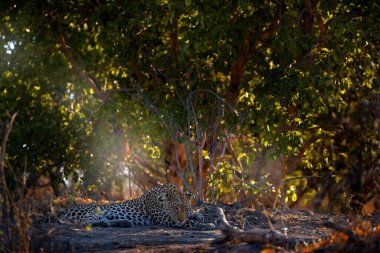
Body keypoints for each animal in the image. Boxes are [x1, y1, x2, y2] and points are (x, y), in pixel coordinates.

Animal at [41, 185, 215, 230]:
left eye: (185, 209)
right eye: (175, 209)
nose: (180, 219)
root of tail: (62, 211)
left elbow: (192, 217)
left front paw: (198, 216)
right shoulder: (166, 219)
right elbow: (189, 223)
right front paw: (207, 225)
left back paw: (124, 222)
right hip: (91, 211)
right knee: (86, 222)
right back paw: (107, 223)